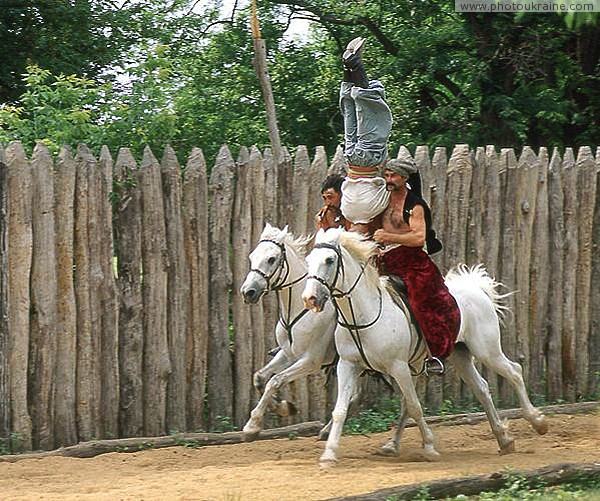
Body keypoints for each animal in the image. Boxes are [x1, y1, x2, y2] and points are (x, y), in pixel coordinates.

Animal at [239, 225, 338, 440]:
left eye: (271, 259)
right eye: (252, 257)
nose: (248, 292)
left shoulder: (310, 362)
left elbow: (275, 380)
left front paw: (252, 425)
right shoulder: (288, 354)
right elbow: (260, 378)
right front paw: (283, 407)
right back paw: (327, 430)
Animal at [302, 229, 548, 466]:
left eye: (329, 260)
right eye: (309, 260)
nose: (310, 299)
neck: (365, 313)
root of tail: (476, 288)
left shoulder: (398, 366)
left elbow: (413, 406)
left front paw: (429, 447)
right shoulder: (348, 365)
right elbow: (340, 410)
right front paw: (329, 453)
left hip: (487, 350)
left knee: (514, 371)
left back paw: (538, 422)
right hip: (460, 355)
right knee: (482, 388)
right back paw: (503, 439)